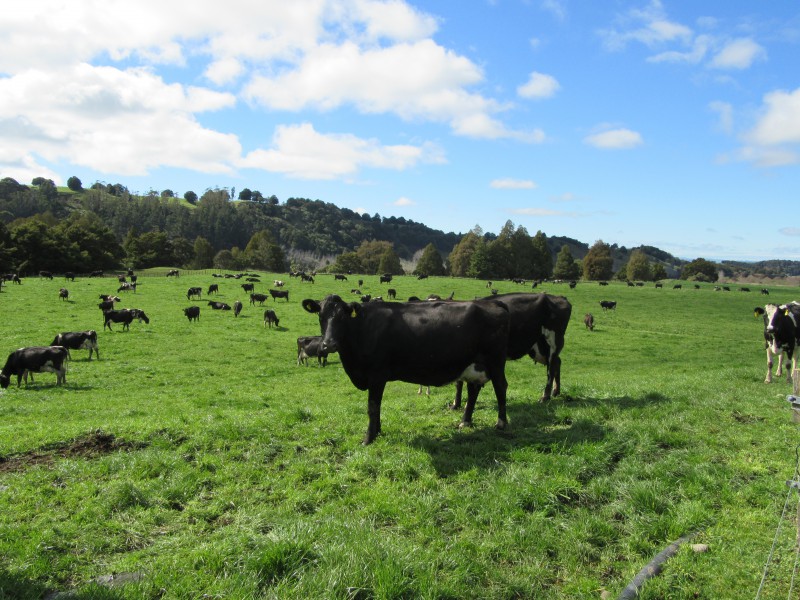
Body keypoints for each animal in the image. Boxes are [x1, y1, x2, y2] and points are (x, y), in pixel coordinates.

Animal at [304, 292, 510, 442]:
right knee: (473, 389)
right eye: (321, 316)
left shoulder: (376, 375)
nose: (329, 344)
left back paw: (501, 423)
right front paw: (378, 431)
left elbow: (372, 407)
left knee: (500, 387)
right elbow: (377, 407)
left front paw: (368, 438)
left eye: (343, 318)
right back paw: (465, 422)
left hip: (496, 361)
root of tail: (494, 303)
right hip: (475, 364)